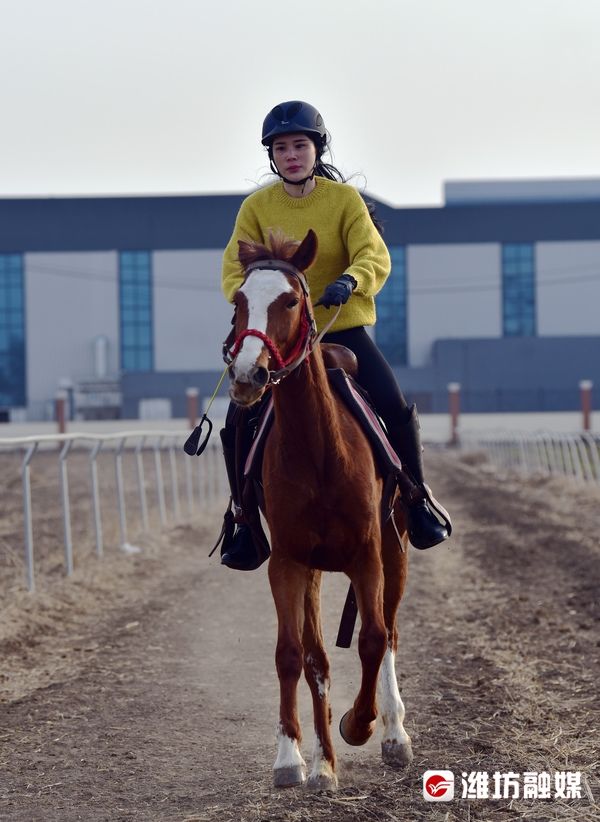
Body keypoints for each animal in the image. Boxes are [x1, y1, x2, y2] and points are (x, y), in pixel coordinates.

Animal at [225, 227, 412, 792]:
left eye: (289, 300)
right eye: (239, 301)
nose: (248, 375)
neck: (319, 451)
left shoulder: (368, 556)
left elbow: (372, 640)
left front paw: (362, 723)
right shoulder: (290, 562)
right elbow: (294, 656)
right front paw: (294, 759)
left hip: (396, 551)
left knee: (389, 632)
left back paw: (392, 733)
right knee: (317, 660)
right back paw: (324, 761)